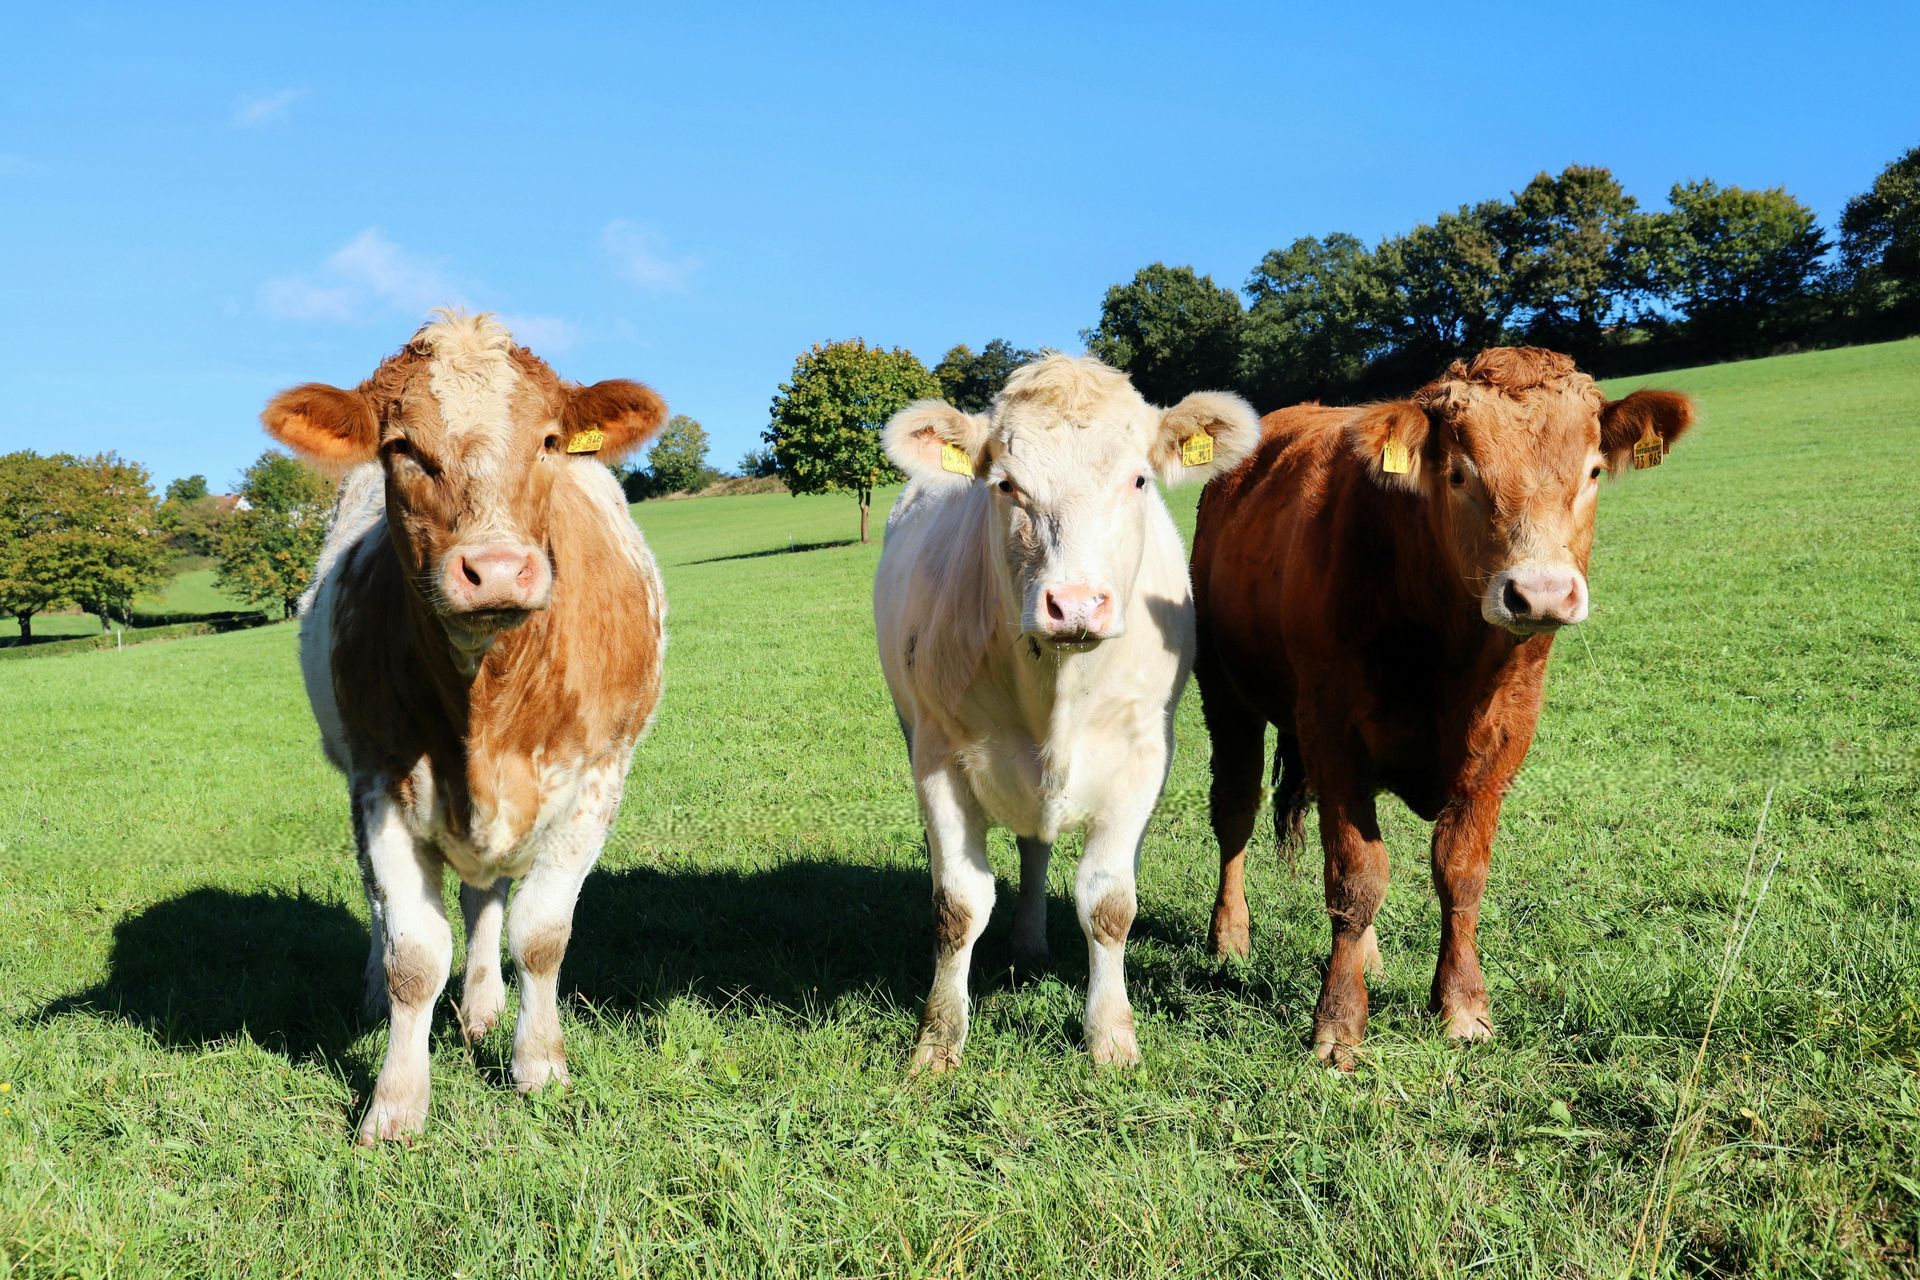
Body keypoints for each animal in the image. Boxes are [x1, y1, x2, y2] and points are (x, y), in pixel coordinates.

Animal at [263, 311, 669, 1142]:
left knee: (487, 899)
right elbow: (415, 953)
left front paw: (538, 1064)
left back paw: (484, 1005)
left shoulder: (596, 780)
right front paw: (395, 1103)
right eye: (401, 447)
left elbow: (540, 936)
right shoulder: (379, 782)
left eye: (550, 440)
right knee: (392, 911)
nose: (497, 569)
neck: (488, 705)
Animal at [874, 354, 1260, 1070]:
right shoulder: (939, 755)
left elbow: (1108, 903)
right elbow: (958, 904)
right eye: (1005, 484)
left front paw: (1110, 1036)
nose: (1076, 604)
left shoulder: (1144, 756)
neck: (1056, 692)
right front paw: (937, 1044)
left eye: (1138, 479)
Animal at [1190, 347, 1694, 1067]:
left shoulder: (1503, 739)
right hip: (1225, 691)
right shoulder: (1332, 730)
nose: (1540, 593)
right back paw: (1229, 936)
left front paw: (1461, 1007)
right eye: (1458, 474)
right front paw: (1339, 1024)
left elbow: (1458, 872)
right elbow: (1355, 876)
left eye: (1594, 471)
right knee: (1235, 809)